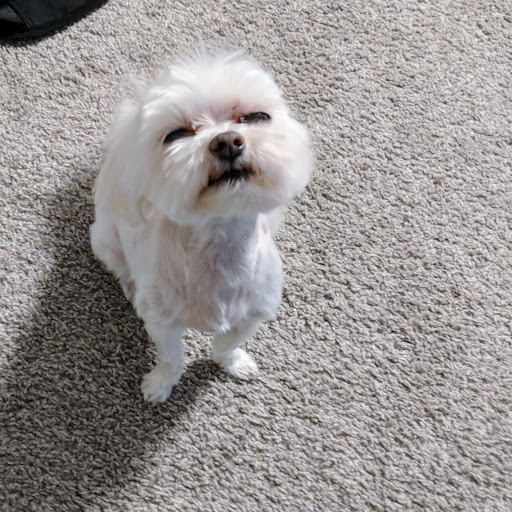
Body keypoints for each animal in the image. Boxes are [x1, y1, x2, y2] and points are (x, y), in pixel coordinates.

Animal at [90, 50, 313, 403]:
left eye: (256, 117)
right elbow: (172, 358)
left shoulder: (251, 316)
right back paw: (129, 286)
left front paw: (234, 363)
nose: (227, 142)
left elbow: (227, 343)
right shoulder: (162, 324)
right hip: (105, 239)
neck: (221, 246)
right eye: (175, 135)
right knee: (119, 265)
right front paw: (160, 385)